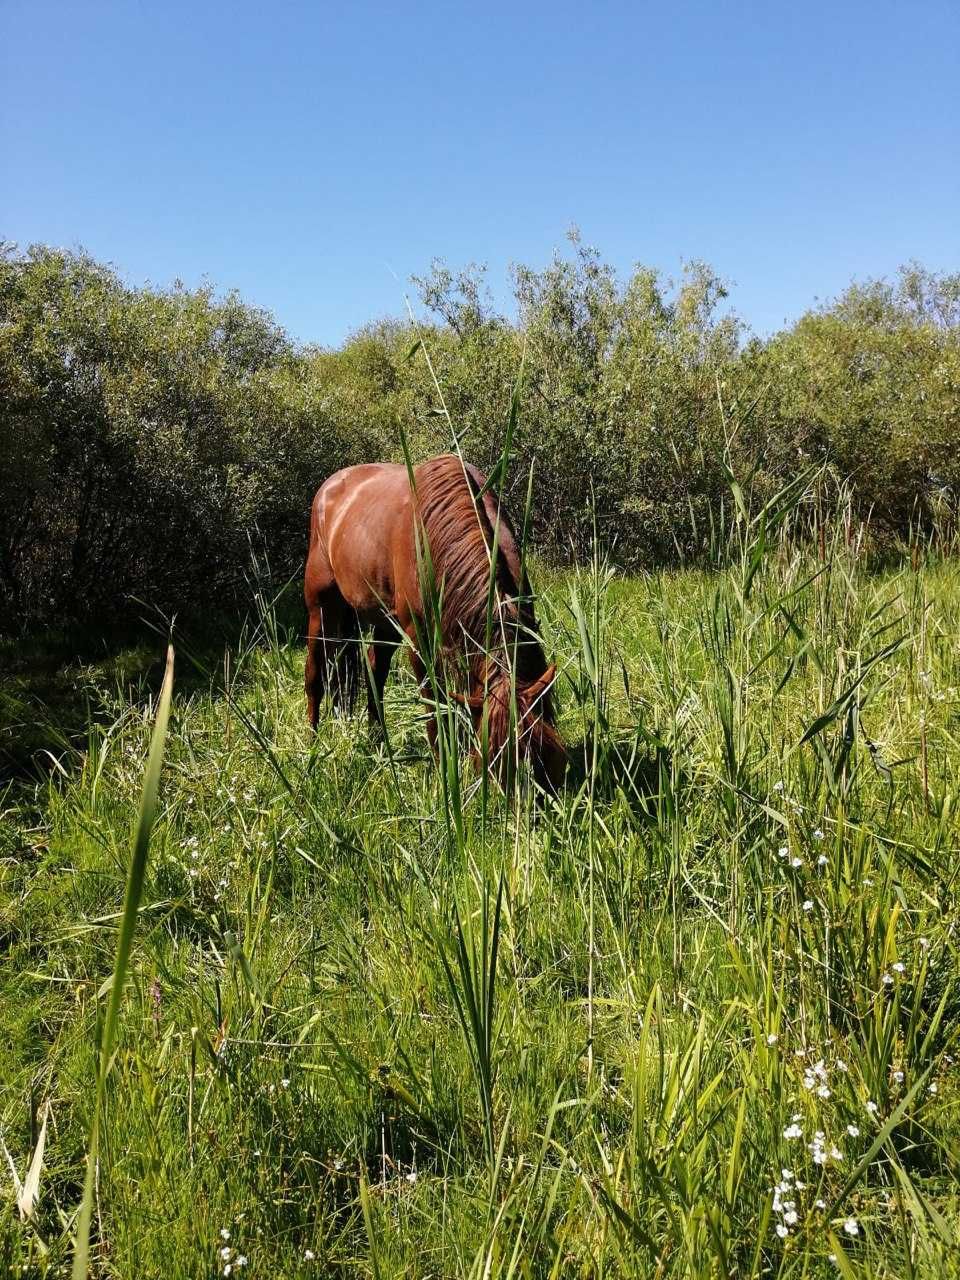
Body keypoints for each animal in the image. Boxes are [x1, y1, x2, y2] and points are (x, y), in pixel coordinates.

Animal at [304, 450, 568, 788]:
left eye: (544, 757)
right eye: (489, 762)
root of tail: (329, 488)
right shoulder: (420, 642)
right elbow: (435, 705)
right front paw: (441, 766)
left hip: (384, 620)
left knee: (374, 672)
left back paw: (377, 741)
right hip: (320, 609)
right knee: (315, 674)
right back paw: (313, 745)